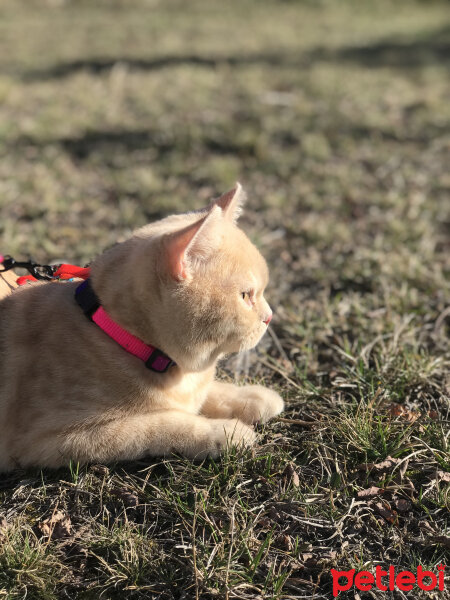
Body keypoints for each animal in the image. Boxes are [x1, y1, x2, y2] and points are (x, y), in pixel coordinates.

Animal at [0, 185, 284, 472]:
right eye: (245, 296)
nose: (270, 317)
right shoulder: (57, 438)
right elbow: (163, 423)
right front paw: (226, 432)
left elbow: (210, 392)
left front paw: (251, 397)